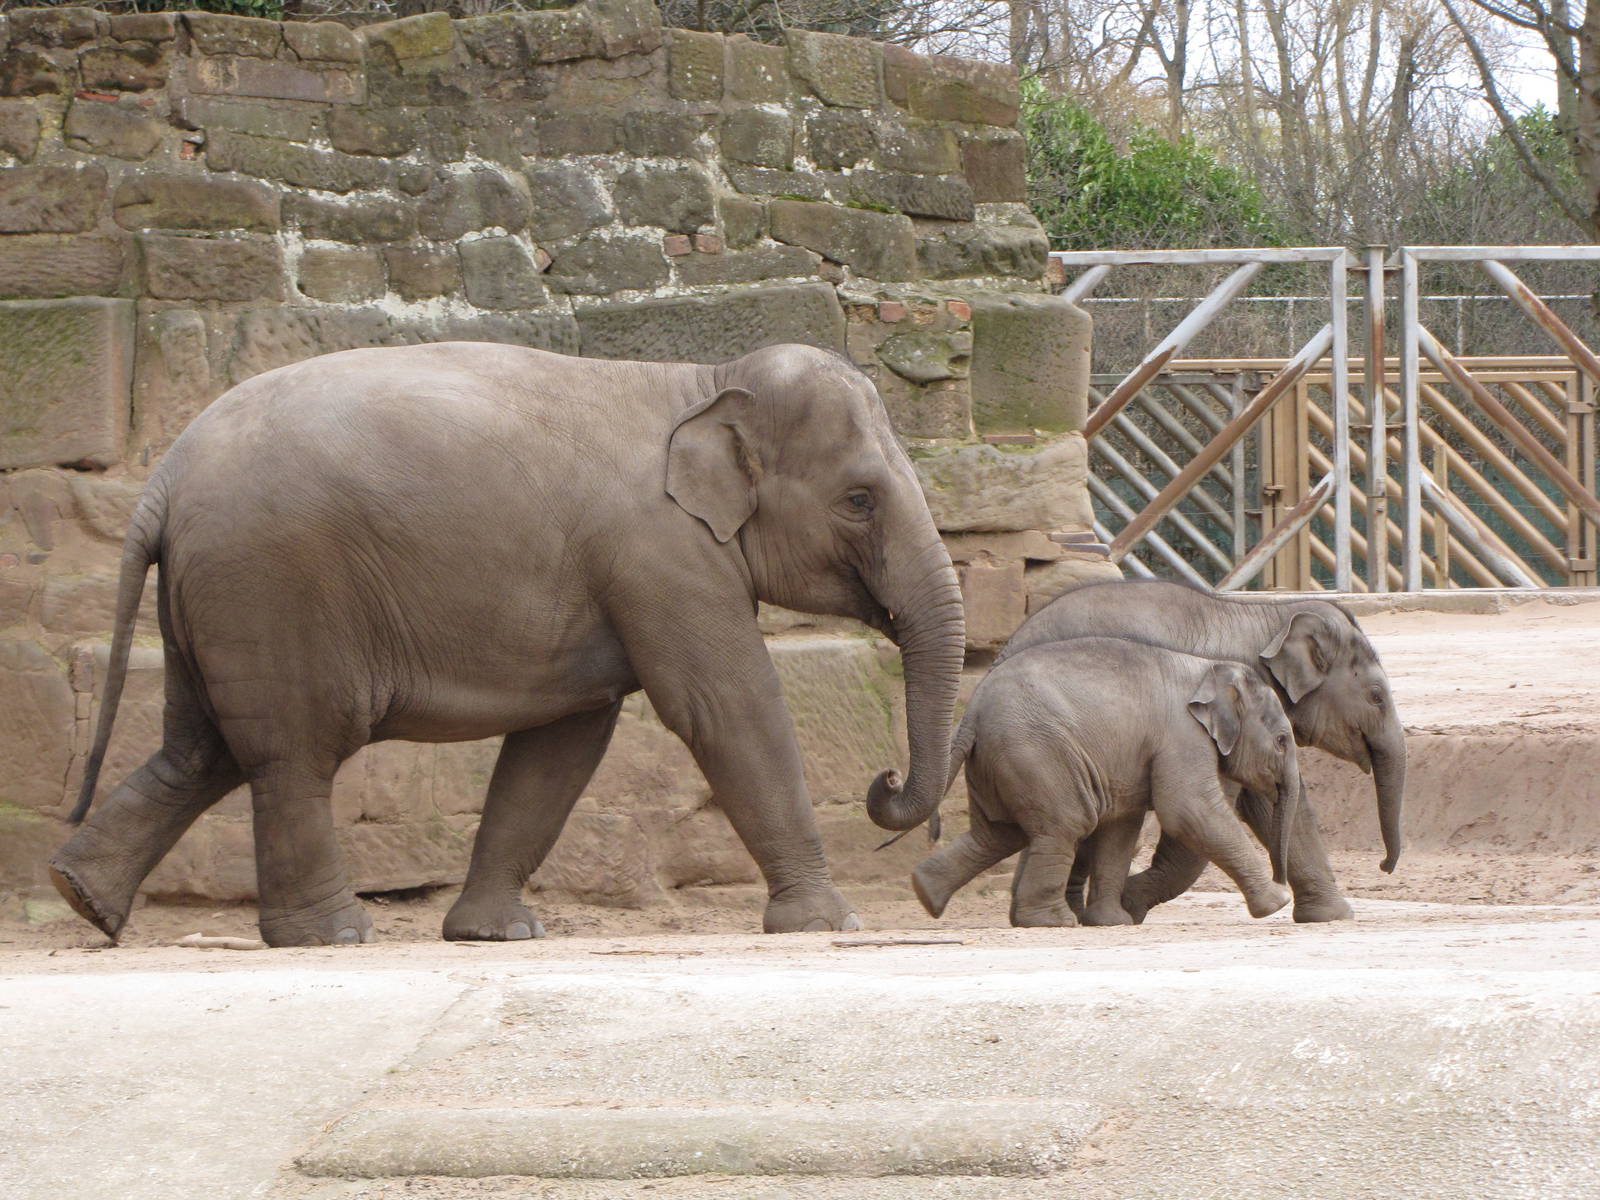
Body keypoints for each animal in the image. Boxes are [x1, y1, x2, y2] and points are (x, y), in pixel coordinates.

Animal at [49, 341, 966, 947]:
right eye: (859, 500)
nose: (886, 783)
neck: (703, 381)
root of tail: (163, 479)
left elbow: (564, 741)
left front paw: (494, 934)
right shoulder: (663, 554)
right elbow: (726, 705)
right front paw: (829, 923)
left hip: (214, 597)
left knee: (202, 749)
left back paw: (84, 900)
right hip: (271, 585)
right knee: (293, 753)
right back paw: (333, 937)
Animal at [910, 637, 1299, 927]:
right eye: (1282, 740)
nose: (1283, 881)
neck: (1209, 666)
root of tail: (972, 711)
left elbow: (1122, 826)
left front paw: (1114, 921)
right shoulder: (1182, 733)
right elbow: (1188, 809)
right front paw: (1278, 902)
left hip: (1000, 760)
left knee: (998, 833)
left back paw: (926, 893)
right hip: (1035, 751)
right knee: (1065, 824)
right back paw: (1051, 921)